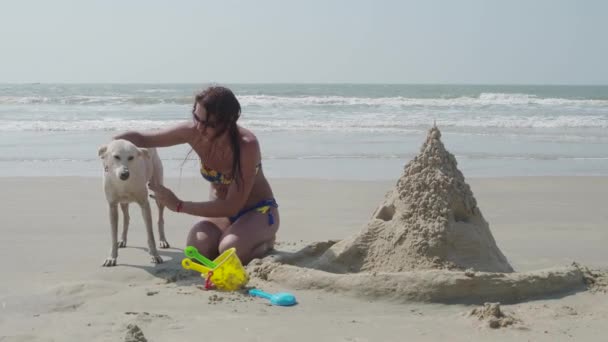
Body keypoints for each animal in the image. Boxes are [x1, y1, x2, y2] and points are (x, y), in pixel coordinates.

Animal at [97, 139, 169, 268]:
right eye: (116, 157)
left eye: (131, 157)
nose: (125, 174)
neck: (124, 184)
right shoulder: (112, 206)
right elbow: (113, 235)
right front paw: (112, 257)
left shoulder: (144, 204)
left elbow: (150, 234)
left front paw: (155, 255)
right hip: (123, 202)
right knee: (126, 218)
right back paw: (122, 240)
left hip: (158, 187)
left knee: (160, 217)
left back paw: (162, 240)